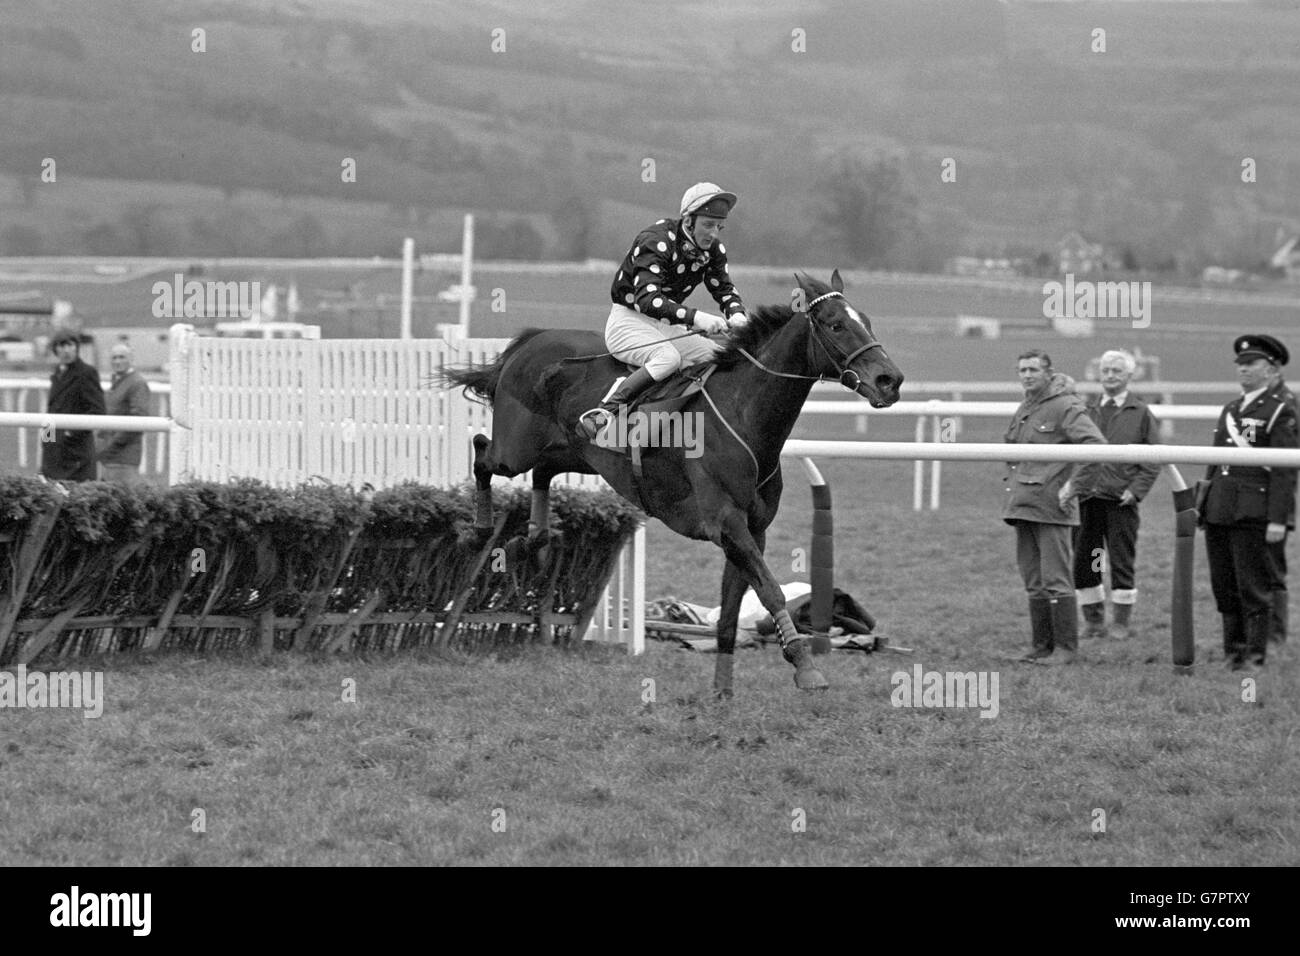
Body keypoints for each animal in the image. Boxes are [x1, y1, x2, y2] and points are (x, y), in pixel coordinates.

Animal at [441, 269, 899, 697]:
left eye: (867, 321)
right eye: (835, 324)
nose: (890, 380)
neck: (743, 417)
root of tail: (531, 340)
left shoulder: (752, 531)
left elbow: (730, 614)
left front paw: (722, 691)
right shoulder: (727, 525)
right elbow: (771, 592)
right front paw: (806, 668)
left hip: (575, 452)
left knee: (542, 473)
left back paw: (533, 539)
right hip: (515, 450)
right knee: (483, 452)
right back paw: (481, 530)